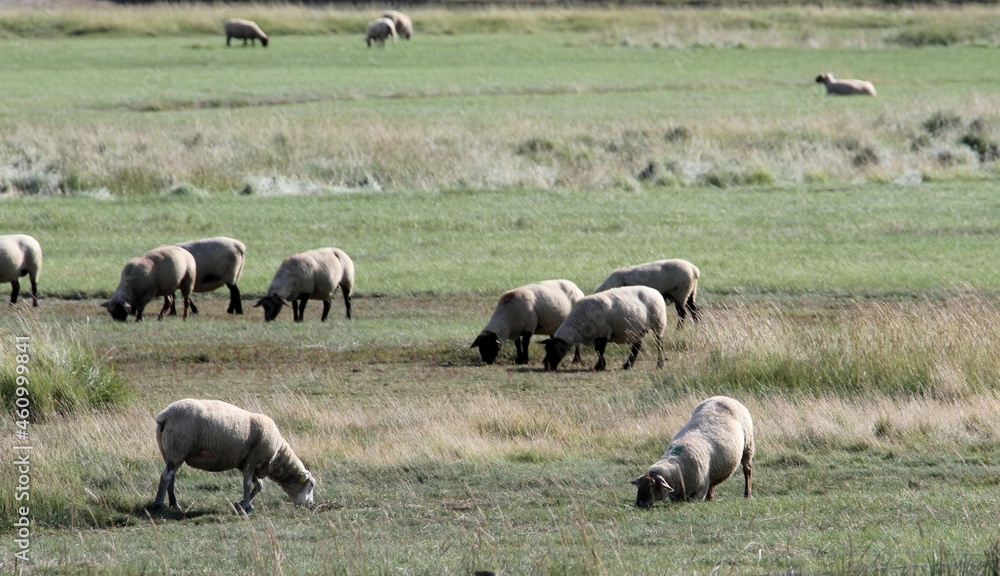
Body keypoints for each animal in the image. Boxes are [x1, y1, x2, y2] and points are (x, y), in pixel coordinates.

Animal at [153, 398, 315, 513]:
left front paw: (242, 504)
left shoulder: (246, 462)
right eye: (310, 486)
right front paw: (245, 506)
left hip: (169, 451)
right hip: (178, 447)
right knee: (166, 476)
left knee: (171, 477)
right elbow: (247, 484)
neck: (276, 456)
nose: (310, 505)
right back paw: (158, 504)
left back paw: (174, 504)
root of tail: (165, 414)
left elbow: (258, 486)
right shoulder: (252, 461)